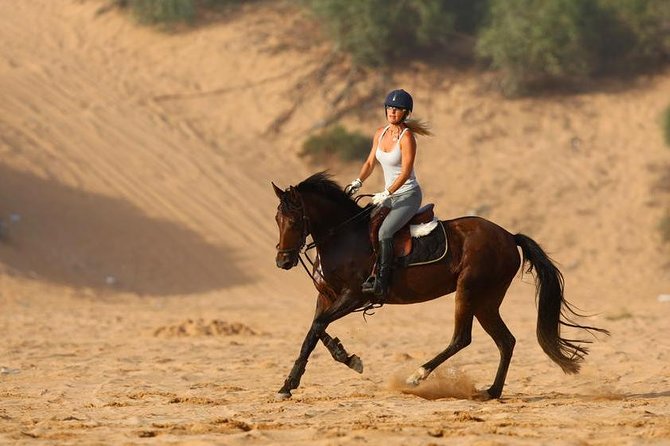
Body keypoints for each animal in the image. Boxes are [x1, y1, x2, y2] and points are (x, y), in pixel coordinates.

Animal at [272, 172, 608, 400]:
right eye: (277, 219)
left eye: (294, 220)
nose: (283, 261)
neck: (345, 236)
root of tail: (508, 236)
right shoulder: (327, 296)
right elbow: (314, 332)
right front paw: (294, 382)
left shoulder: (353, 296)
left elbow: (318, 327)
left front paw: (344, 360)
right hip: (486, 301)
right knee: (506, 341)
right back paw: (491, 391)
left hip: (469, 291)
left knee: (462, 338)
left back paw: (417, 376)